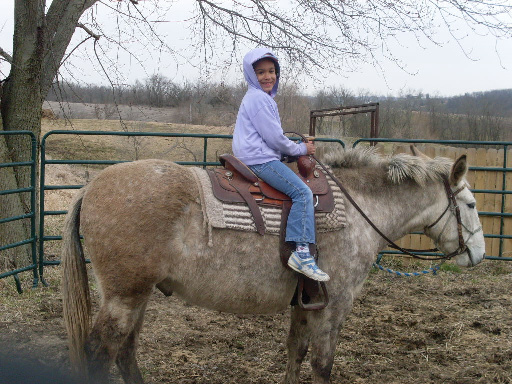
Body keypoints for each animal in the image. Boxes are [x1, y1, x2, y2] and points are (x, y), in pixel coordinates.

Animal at [60, 146, 484, 382]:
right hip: (124, 297)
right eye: (470, 204)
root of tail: (91, 186)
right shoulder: (334, 306)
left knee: (125, 353)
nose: (478, 254)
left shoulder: (305, 302)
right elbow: (322, 365)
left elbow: (295, 353)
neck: (359, 209)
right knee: (101, 354)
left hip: (138, 296)